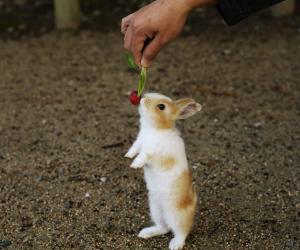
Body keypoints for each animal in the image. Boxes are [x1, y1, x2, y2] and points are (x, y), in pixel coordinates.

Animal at [124, 92, 202, 250]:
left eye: (161, 107)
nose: (143, 98)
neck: (156, 129)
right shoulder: (139, 142)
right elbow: (134, 148)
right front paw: (128, 156)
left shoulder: (153, 152)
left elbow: (143, 156)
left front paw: (135, 165)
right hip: (156, 210)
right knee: (164, 227)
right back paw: (145, 233)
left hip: (176, 216)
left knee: (182, 232)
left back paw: (174, 245)